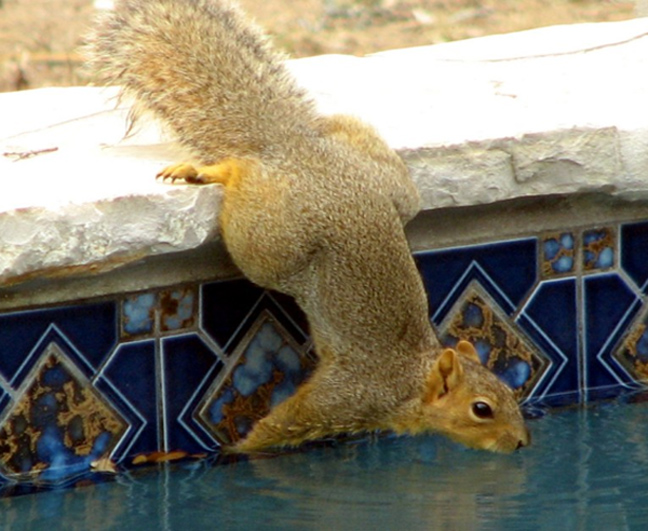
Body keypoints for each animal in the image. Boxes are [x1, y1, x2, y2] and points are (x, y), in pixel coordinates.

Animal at [87, 1, 532, 458]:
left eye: (511, 394)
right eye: (482, 409)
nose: (520, 442)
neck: (412, 380)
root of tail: (292, 147)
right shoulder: (349, 394)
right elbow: (283, 424)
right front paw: (237, 451)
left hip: (390, 183)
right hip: (267, 239)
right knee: (242, 171)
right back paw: (208, 170)